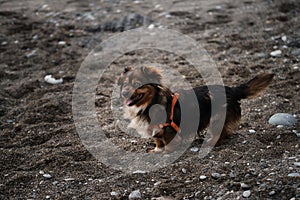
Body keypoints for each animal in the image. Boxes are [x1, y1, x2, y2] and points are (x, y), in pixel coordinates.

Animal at [118, 66, 274, 153]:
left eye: (137, 84)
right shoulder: (156, 130)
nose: (124, 93)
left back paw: (210, 143)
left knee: (220, 134)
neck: (150, 103)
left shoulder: (169, 129)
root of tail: (232, 90)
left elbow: (168, 144)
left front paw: (165, 153)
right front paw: (156, 150)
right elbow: (158, 141)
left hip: (216, 119)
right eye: (124, 84)